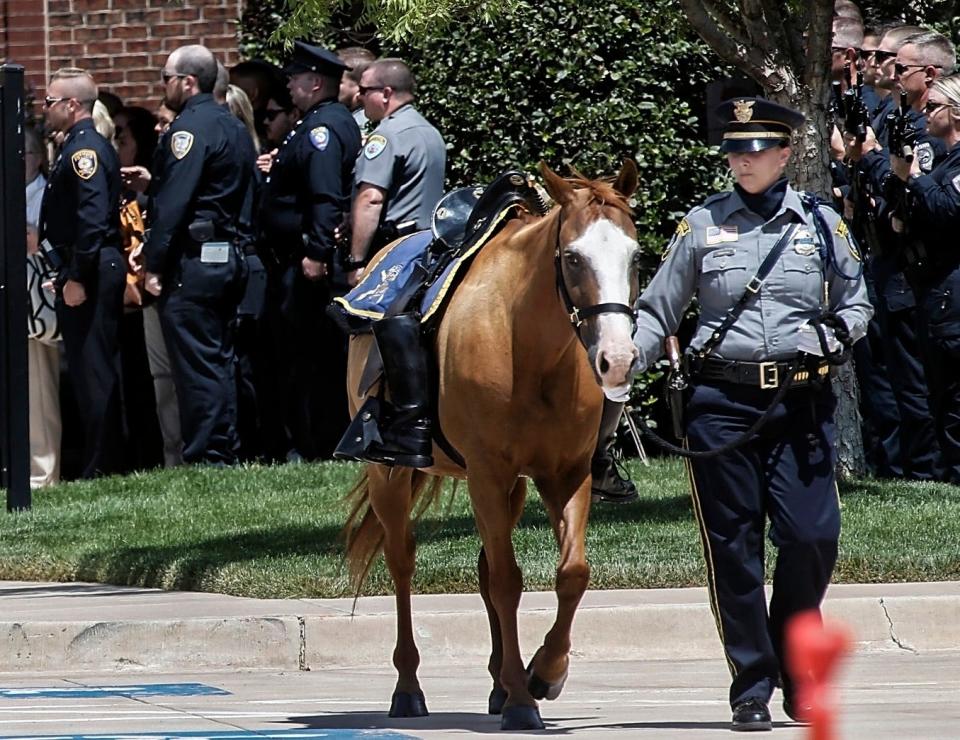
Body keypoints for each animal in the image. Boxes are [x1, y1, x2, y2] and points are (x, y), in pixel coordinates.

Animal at [342, 159, 640, 732]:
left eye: (635, 255)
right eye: (573, 257)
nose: (617, 360)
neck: (530, 347)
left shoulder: (565, 474)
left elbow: (571, 574)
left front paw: (543, 674)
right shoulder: (486, 473)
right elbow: (507, 581)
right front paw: (526, 700)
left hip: (511, 489)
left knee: (482, 570)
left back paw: (501, 682)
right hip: (391, 477)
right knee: (402, 561)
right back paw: (408, 688)